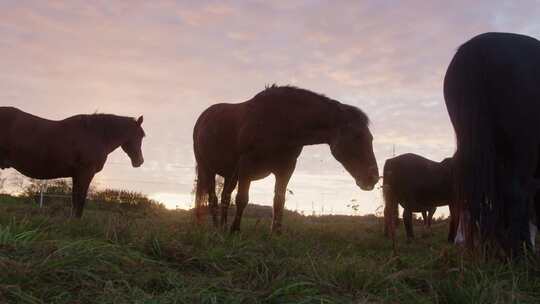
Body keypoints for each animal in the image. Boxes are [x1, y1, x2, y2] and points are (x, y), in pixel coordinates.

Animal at [0, 107, 146, 216]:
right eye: (141, 135)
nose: (140, 161)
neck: (96, 135)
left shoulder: (77, 175)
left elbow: (74, 201)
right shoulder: (85, 173)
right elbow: (80, 201)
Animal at [194, 85, 380, 233]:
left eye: (370, 138)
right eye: (357, 136)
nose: (372, 178)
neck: (280, 121)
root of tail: (203, 118)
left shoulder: (286, 169)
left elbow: (279, 201)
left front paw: (276, 233)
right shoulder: (246, 165)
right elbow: (242, 199)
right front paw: (235, 231)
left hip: (230, 175)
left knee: (225, 198)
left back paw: (222, 227)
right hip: (207, 169)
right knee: (213, 199)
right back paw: (217, 228)